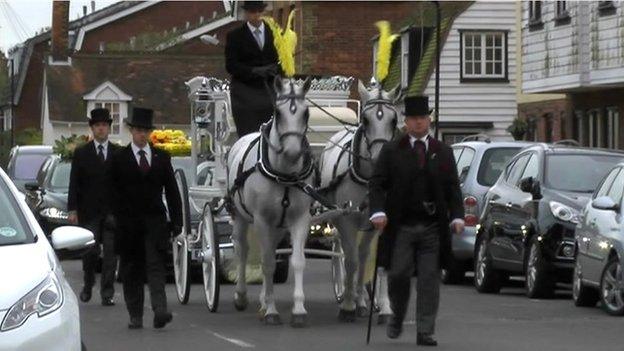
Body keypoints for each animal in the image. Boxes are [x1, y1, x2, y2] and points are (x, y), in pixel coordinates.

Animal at [228, 76, 312, 328]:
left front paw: (298, 310)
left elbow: (297, 261)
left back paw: (263, 302)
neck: (283, 173)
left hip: (278, 225)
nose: (292, 152)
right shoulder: (262, 220)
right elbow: (267, 264)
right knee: (242, 250)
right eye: (278, 111)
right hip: (241, 216)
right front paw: (272, 311)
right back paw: (242, 296)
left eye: (306, 113)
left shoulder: (300, 219)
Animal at [316, 80, 400, 324]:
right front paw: (347, 306)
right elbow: (350, 261)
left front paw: (385, 308)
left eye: (394, 120)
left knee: (363, 255)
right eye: (366, 119)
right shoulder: (347, 220)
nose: (381, 159)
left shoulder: (383, 221)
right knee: (350, 255)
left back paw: (362, 301)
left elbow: (377, 262)